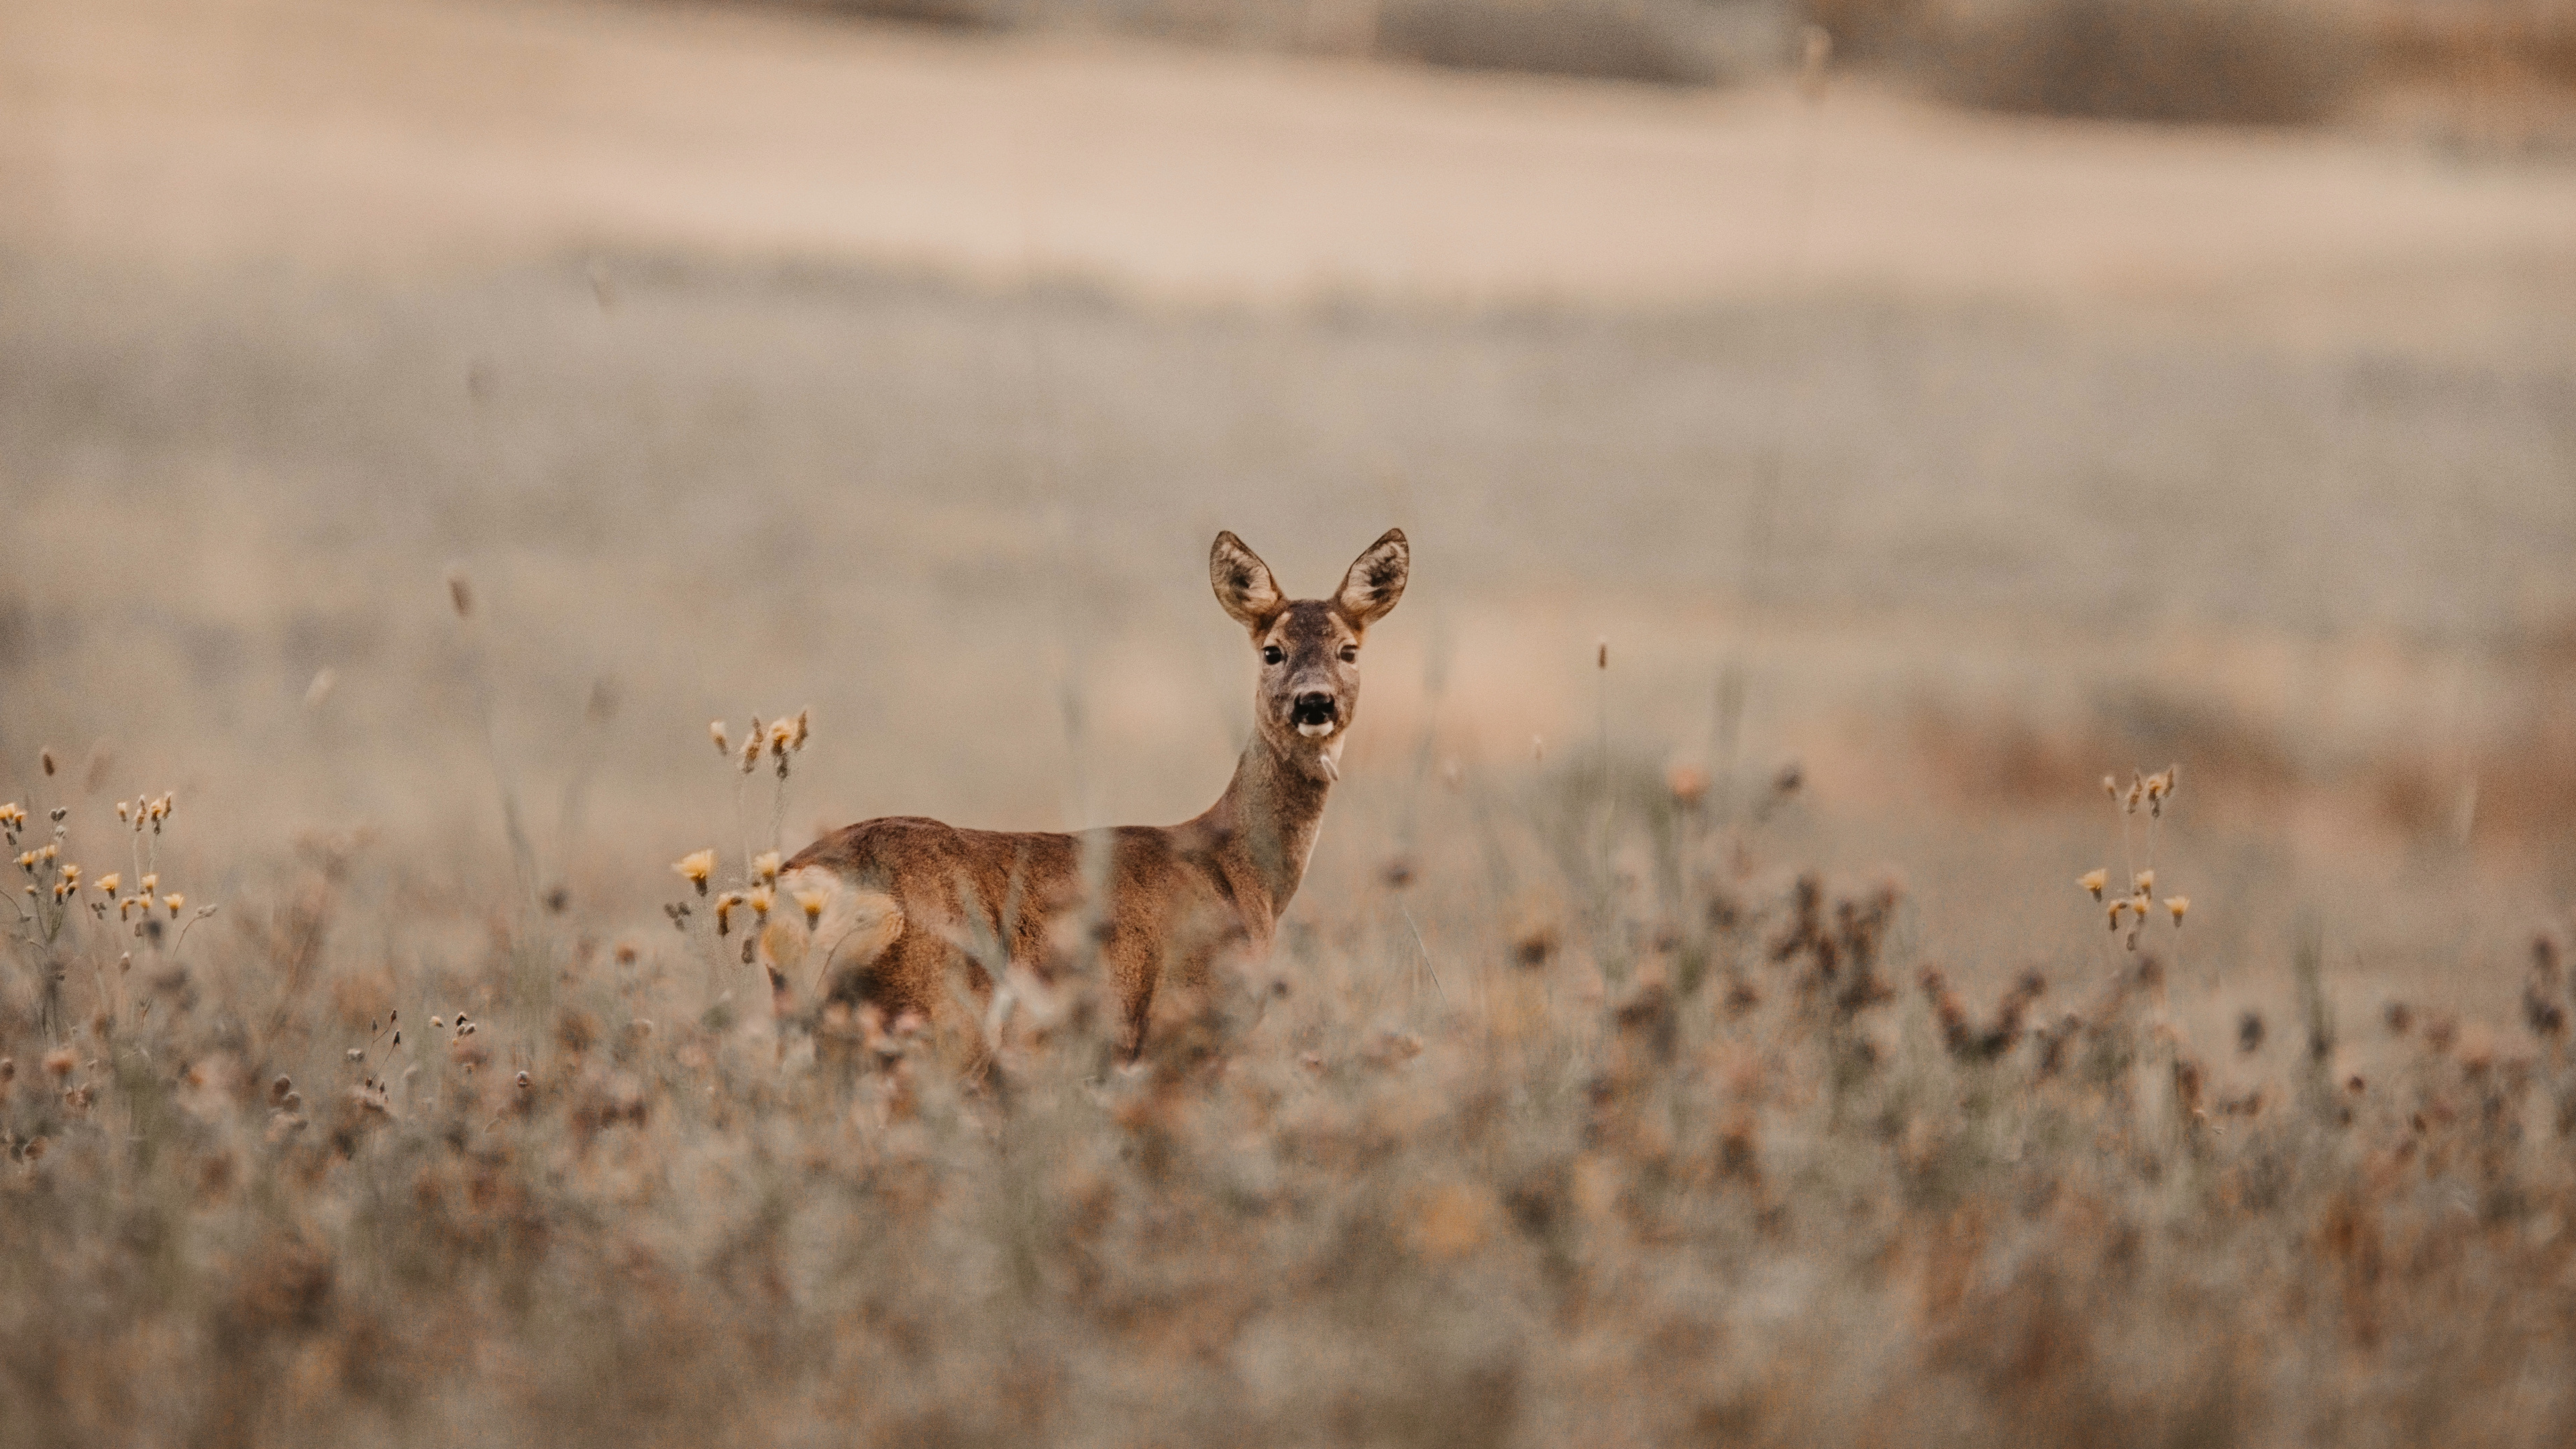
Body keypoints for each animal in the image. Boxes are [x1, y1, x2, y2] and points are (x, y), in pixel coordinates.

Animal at [752, 523, 1421, 1057]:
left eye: (1349, 650)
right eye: (1272, 651)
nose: (1315, 702)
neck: (1242, 873)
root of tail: (808, 885)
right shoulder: (1184, 1027)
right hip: (933, 1014)